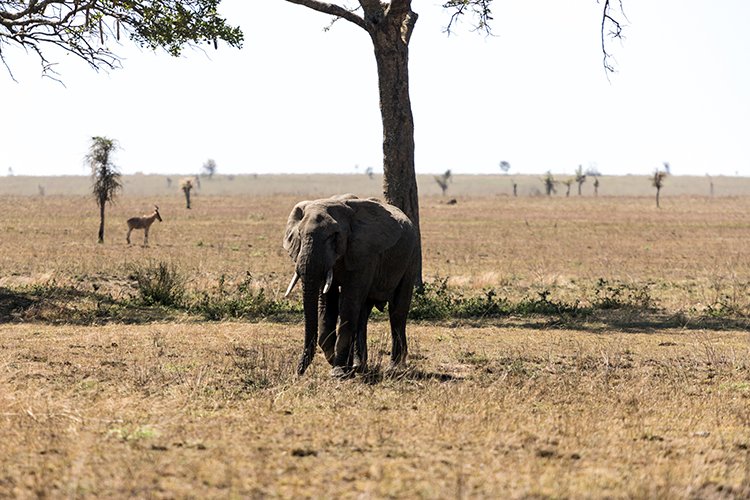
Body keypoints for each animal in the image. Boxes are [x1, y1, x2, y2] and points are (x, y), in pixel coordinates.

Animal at [284, 193, 420, 376]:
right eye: (299, 233)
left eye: (333, 236)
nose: (298, 372)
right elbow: (327, 303)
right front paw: (341, 364)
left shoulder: (364, 253)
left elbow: (349, 303)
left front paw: (338, 372)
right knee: (363, 313)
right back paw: (359, 366)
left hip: (411, 256)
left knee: (397, 311)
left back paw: (394, 367)